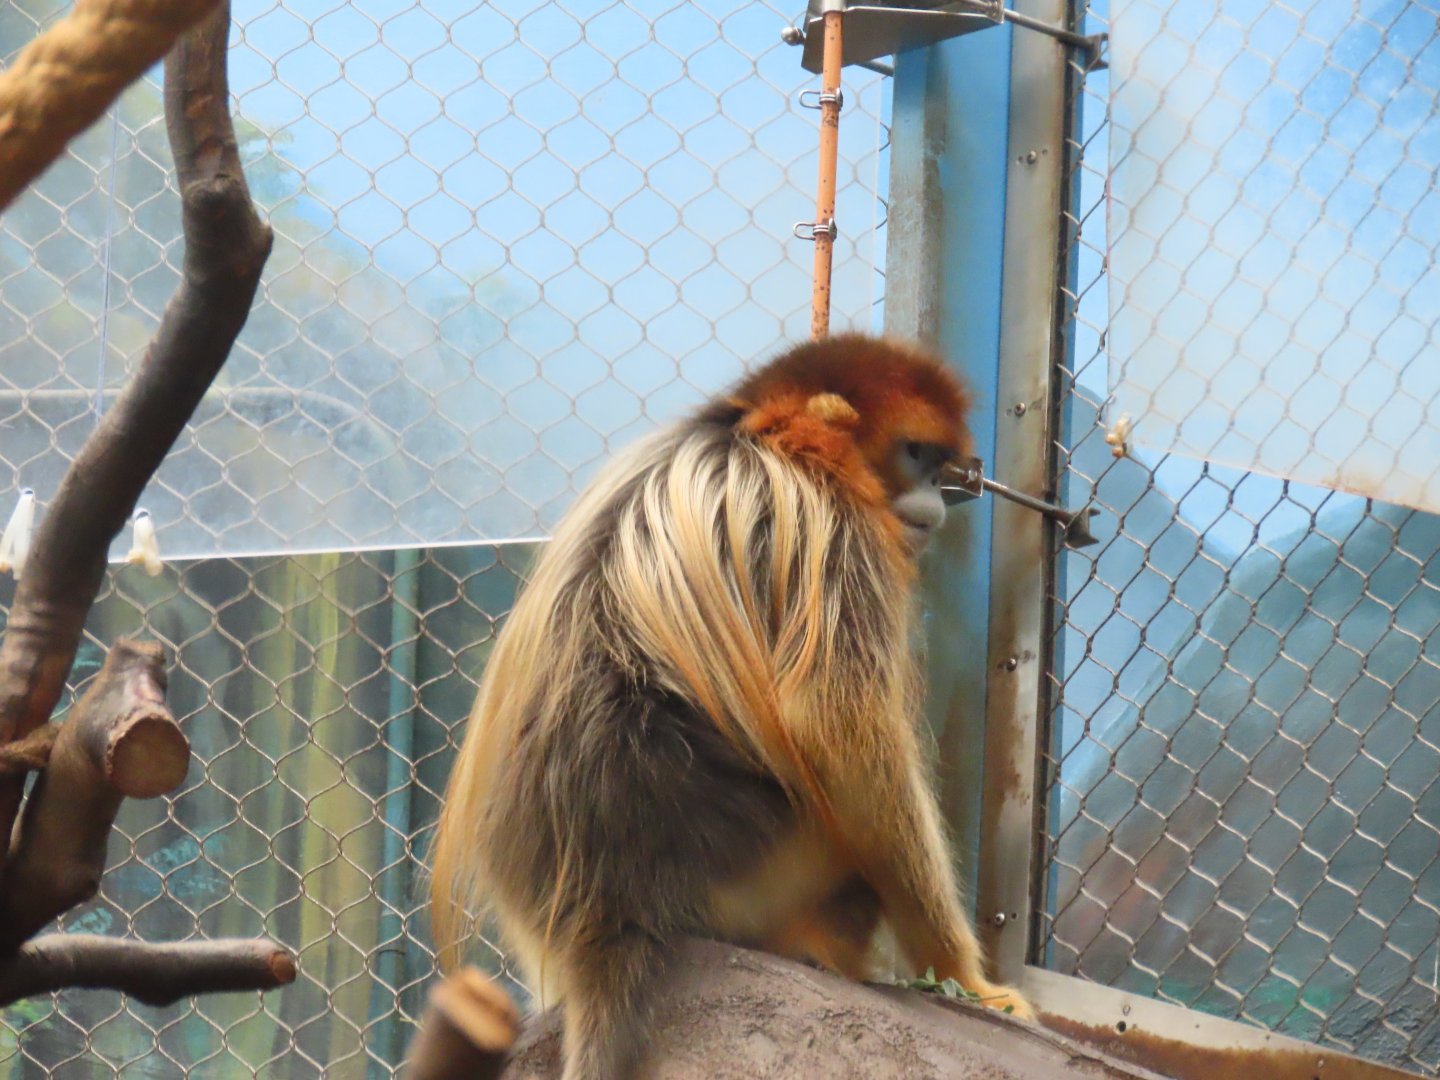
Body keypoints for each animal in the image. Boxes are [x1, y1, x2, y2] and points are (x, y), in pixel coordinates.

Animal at [429, 333, 1033, 1080]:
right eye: (917, 455)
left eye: (939, 464)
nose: (938, 503)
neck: (755, 428)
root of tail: (603, 907)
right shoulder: (832, 516)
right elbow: (833, 725)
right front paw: (965, 978)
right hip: (764, 871)